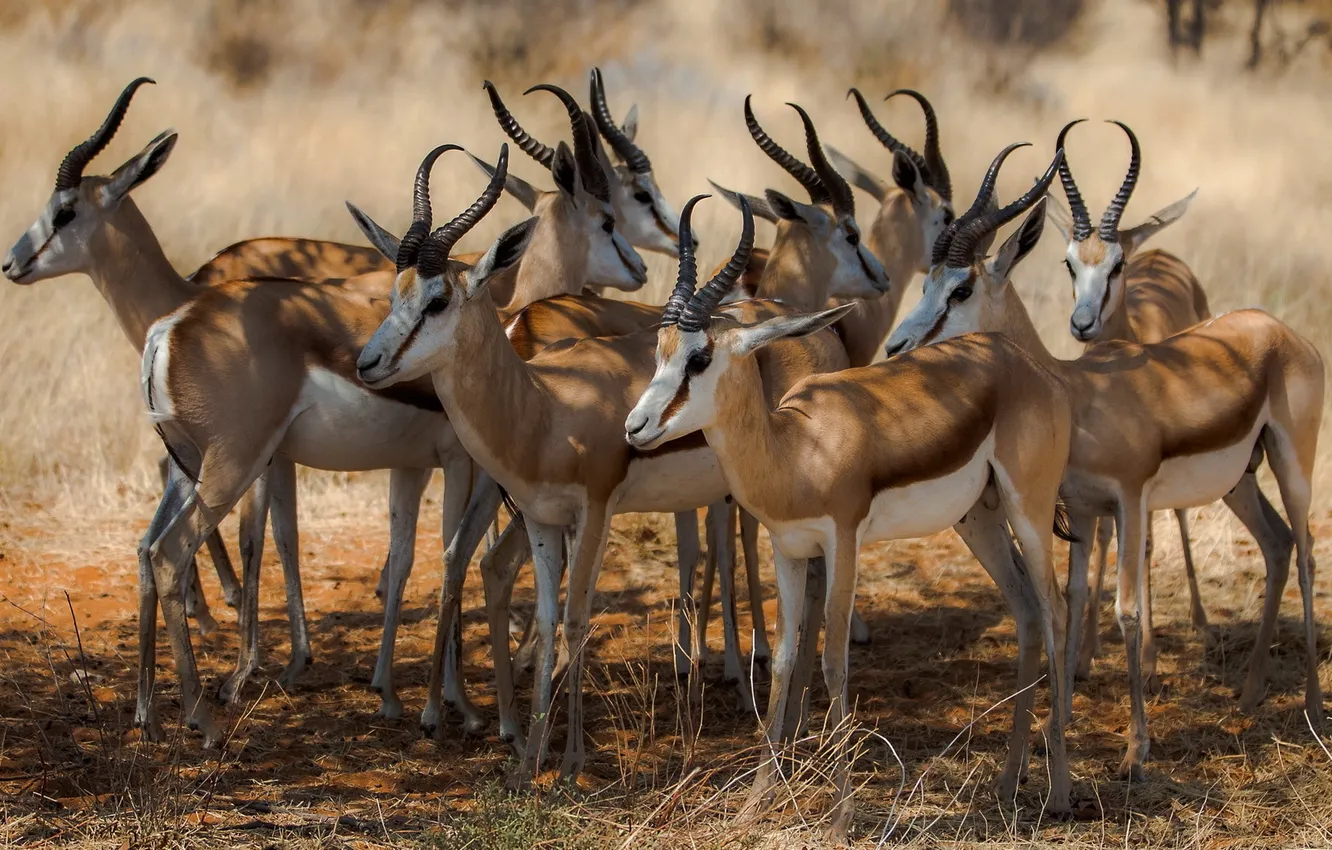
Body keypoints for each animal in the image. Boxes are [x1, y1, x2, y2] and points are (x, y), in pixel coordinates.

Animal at [626, 173, 1076, 835]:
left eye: (699, 357)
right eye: (658, 348)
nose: (635, 426)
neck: (797, 449)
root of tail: (1020, 359)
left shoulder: (843, 543)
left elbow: (835, 659)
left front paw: (839, 819)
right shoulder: (788, 549)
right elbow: (784, 658)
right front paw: (756, 804)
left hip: (1030, 510)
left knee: (1054, 611)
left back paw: (1060, 792)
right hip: (978, 520)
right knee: (1023, 609)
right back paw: (1007, 783)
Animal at [884, 136, 1323, 782]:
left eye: (961, 289)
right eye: (926, 284)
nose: (896, 346)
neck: (1075, 393)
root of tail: (1276, 328)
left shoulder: (1130, 500)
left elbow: (1127, 611)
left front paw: (1136, 750)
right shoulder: (1085, 512)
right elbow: (1067, 606)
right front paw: (1058, 723)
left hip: (1294, 462)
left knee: (1309, 552)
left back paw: (1313, 705)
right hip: (1239, 480)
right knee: (1278, 542)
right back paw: (1247, 696)